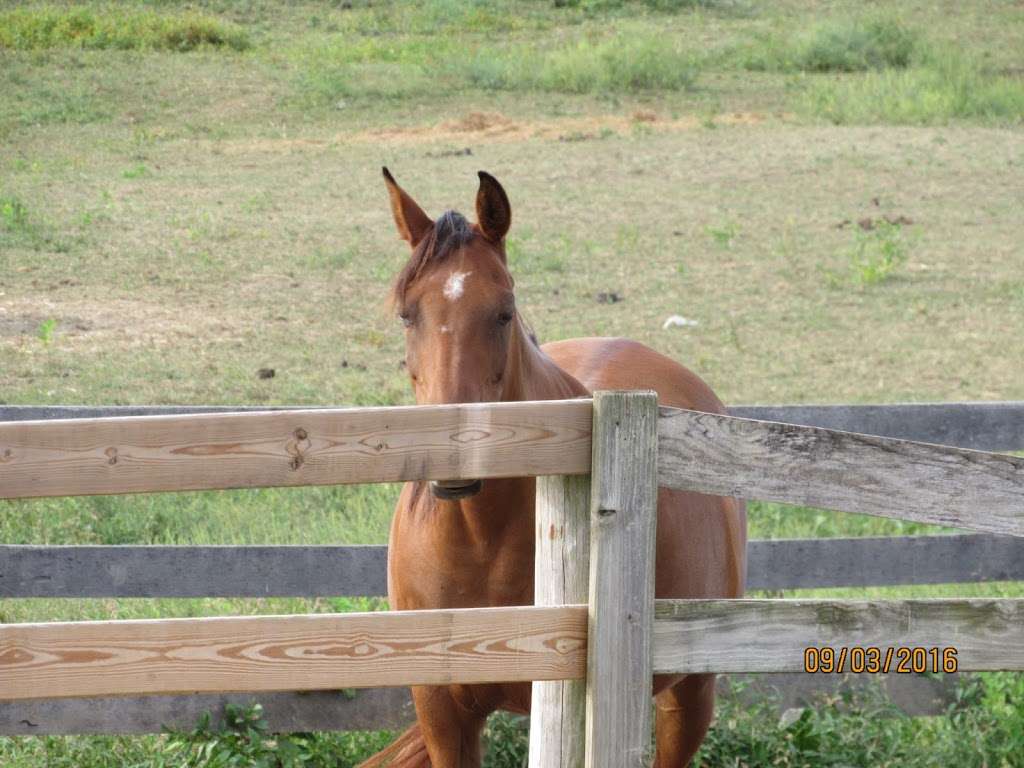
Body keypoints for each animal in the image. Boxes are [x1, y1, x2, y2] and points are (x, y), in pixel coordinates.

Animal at [360, 169, 745, 768]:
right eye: (407, 313)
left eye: (504, 310)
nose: (453, 457)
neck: (482, 542)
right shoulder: (443, 712)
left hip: (688, 695)